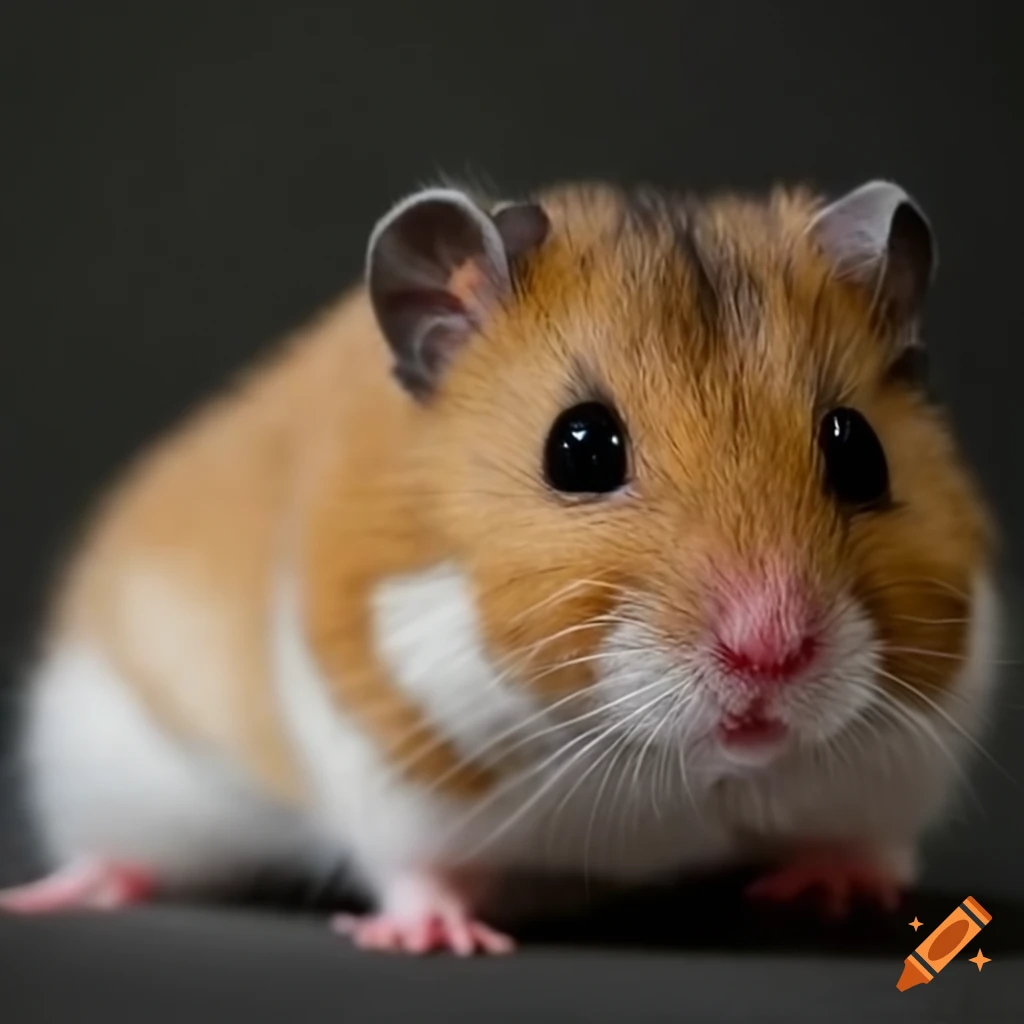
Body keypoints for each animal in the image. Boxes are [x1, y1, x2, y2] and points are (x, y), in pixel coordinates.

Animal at [1, 178, 1001, 954]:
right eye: (581, 447)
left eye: (857, 450)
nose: (772, 655)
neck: (669, 769)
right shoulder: (383, 751)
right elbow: (414, 865)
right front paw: (440, 940)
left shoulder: (901, 766)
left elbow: (867, 842)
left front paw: (840, 890)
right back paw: (60, 892)